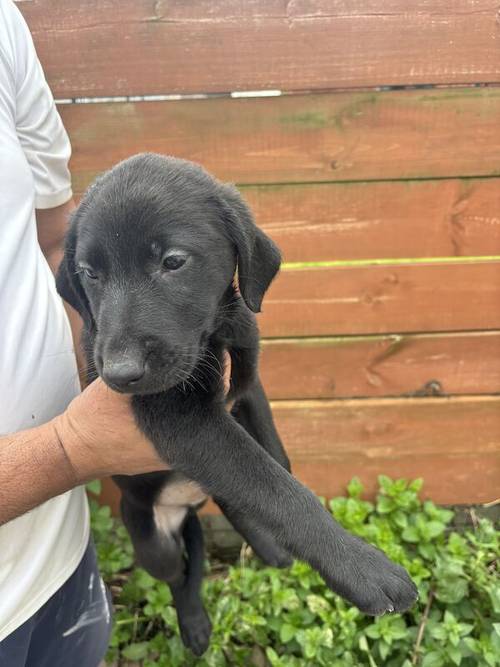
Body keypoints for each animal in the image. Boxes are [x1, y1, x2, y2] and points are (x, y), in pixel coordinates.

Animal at [56, 153, 418, 656]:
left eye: (173, 262)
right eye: (90, 273)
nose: (119, 375)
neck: (215, 333)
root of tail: (182, 506)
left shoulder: (247, 382)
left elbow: (273, 463)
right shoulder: (183, 419)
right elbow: (273, 486)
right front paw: (362, 568)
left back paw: (267, 548)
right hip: (151, 541)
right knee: (180, 573)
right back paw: (194, 624)